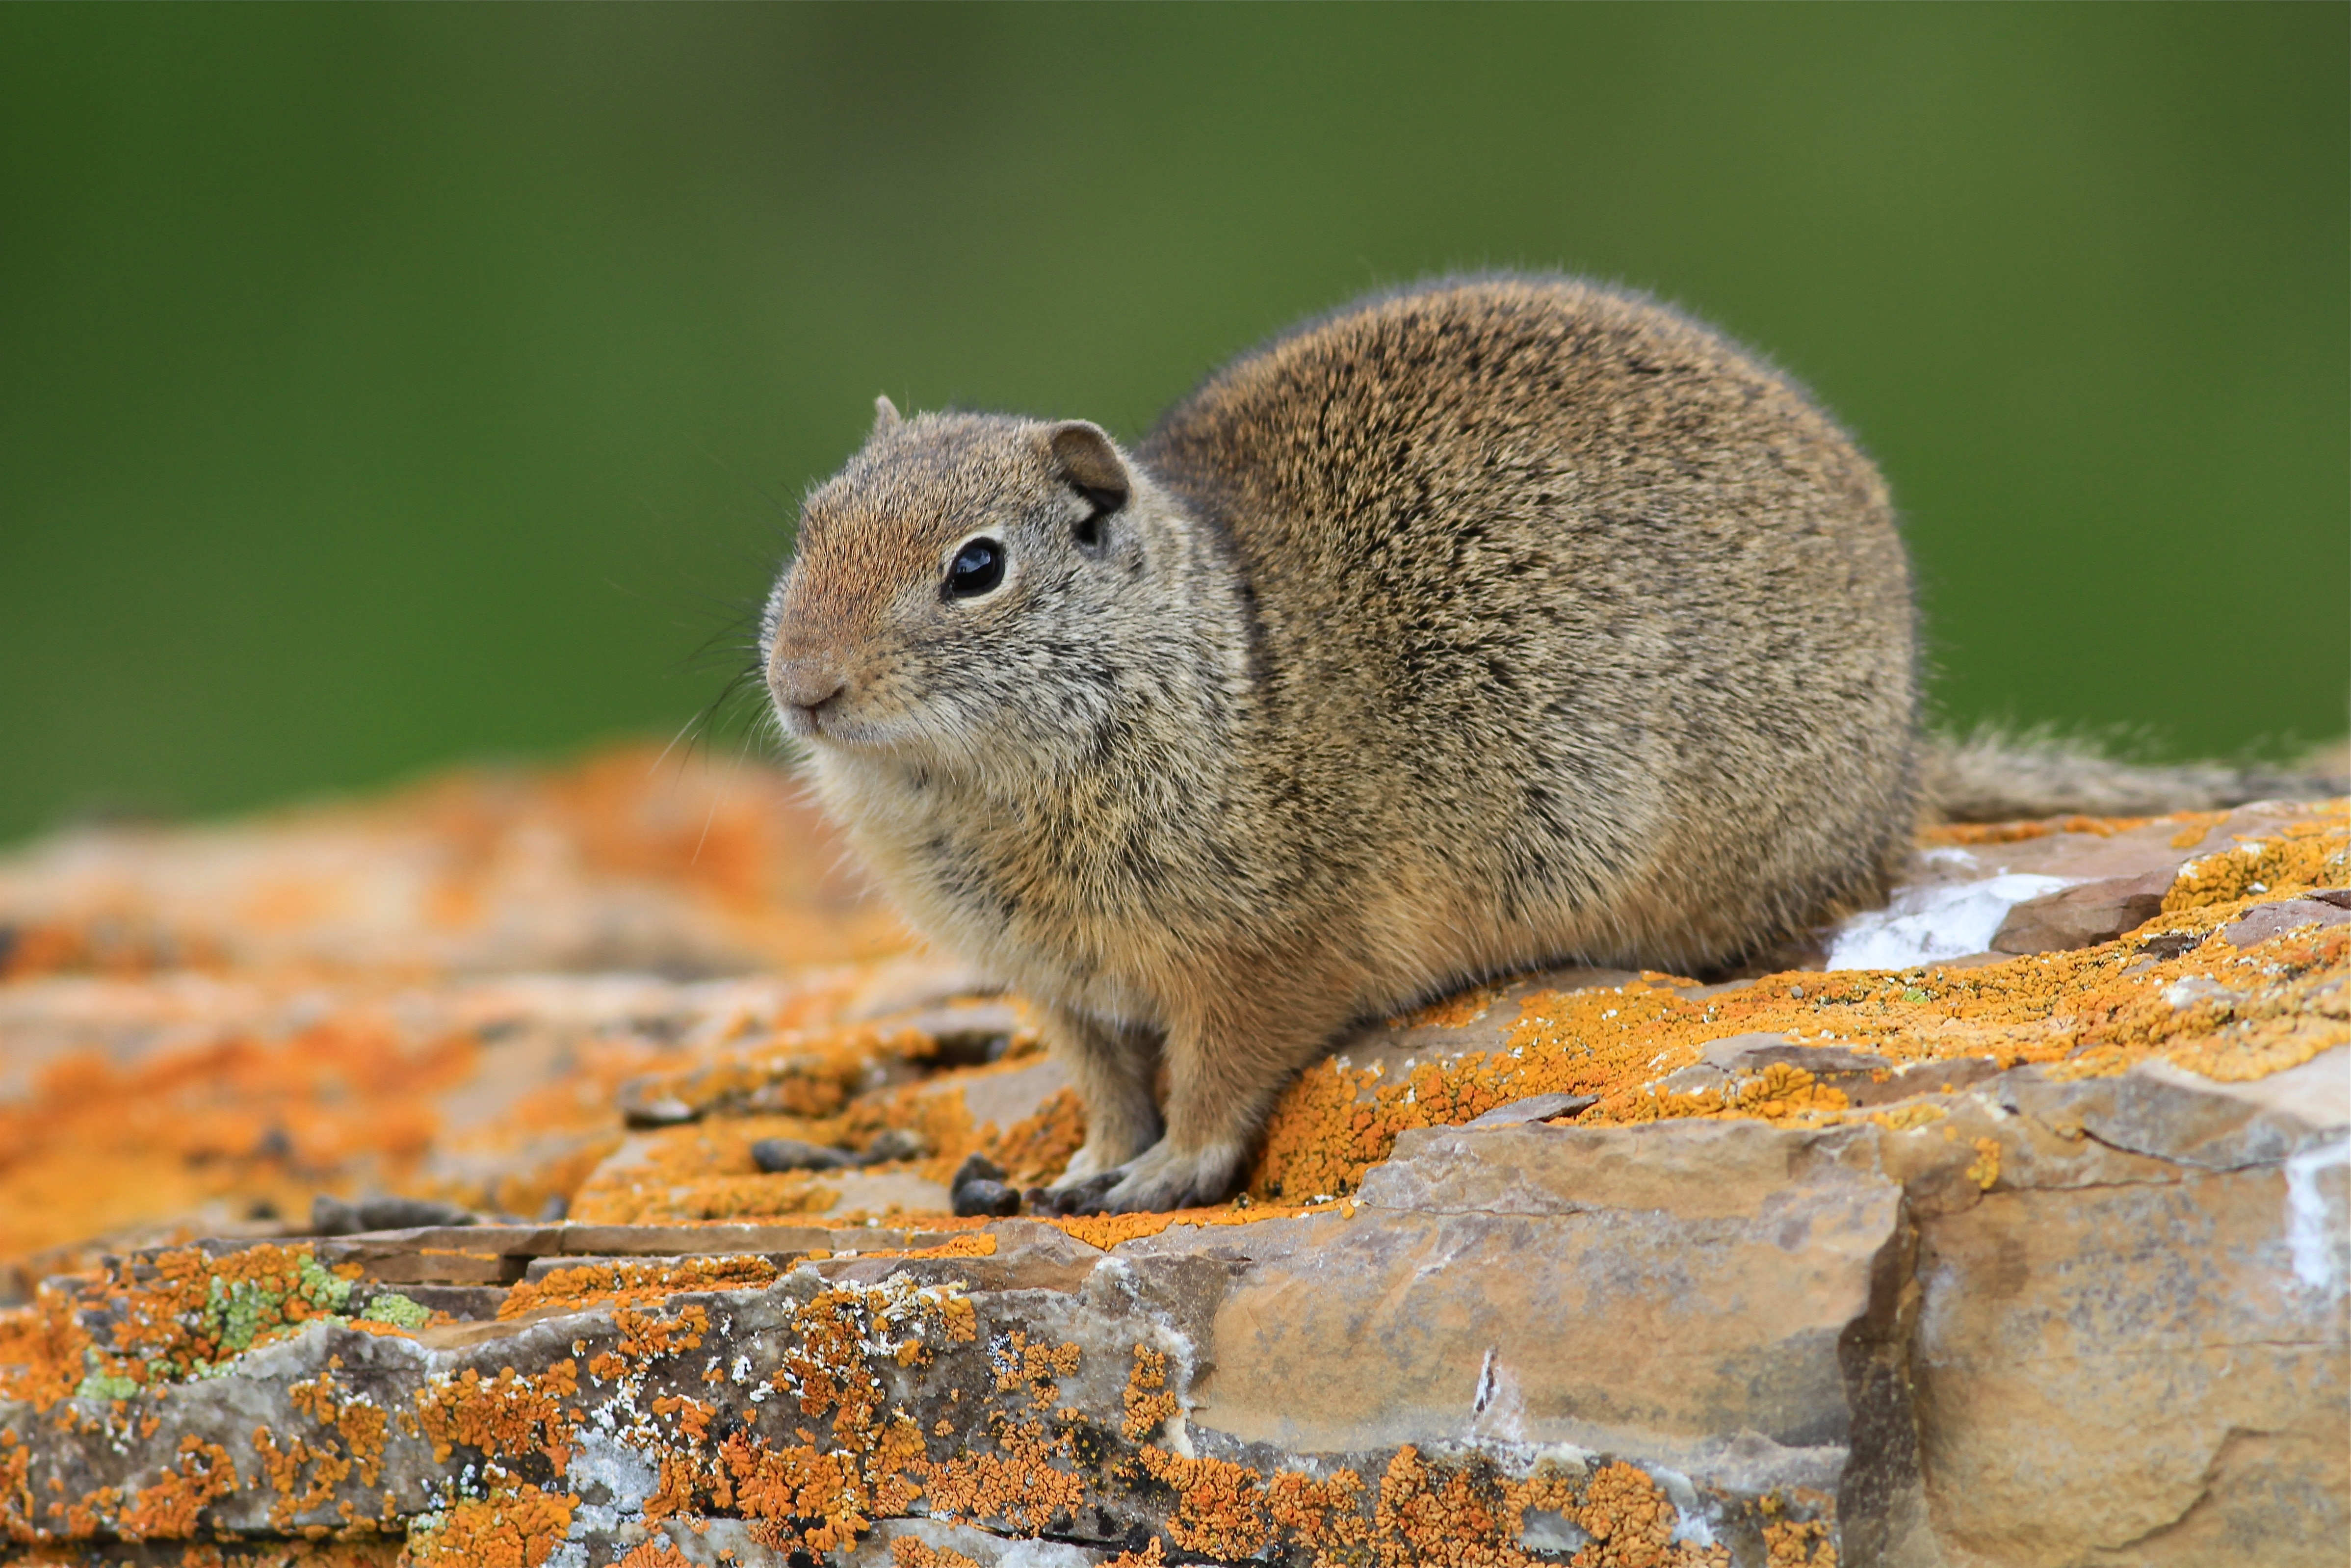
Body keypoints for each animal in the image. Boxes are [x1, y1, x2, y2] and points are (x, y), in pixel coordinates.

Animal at [766, 272, 2332, 1213]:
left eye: (976, 567)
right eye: (811, 521)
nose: (800, 686)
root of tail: (1904, 766)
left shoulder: (1263, 948)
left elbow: (1218, 1078)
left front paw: (1163, 1176)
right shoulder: (1064, 990)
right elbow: (1105, 1088)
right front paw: (1087, 1170)